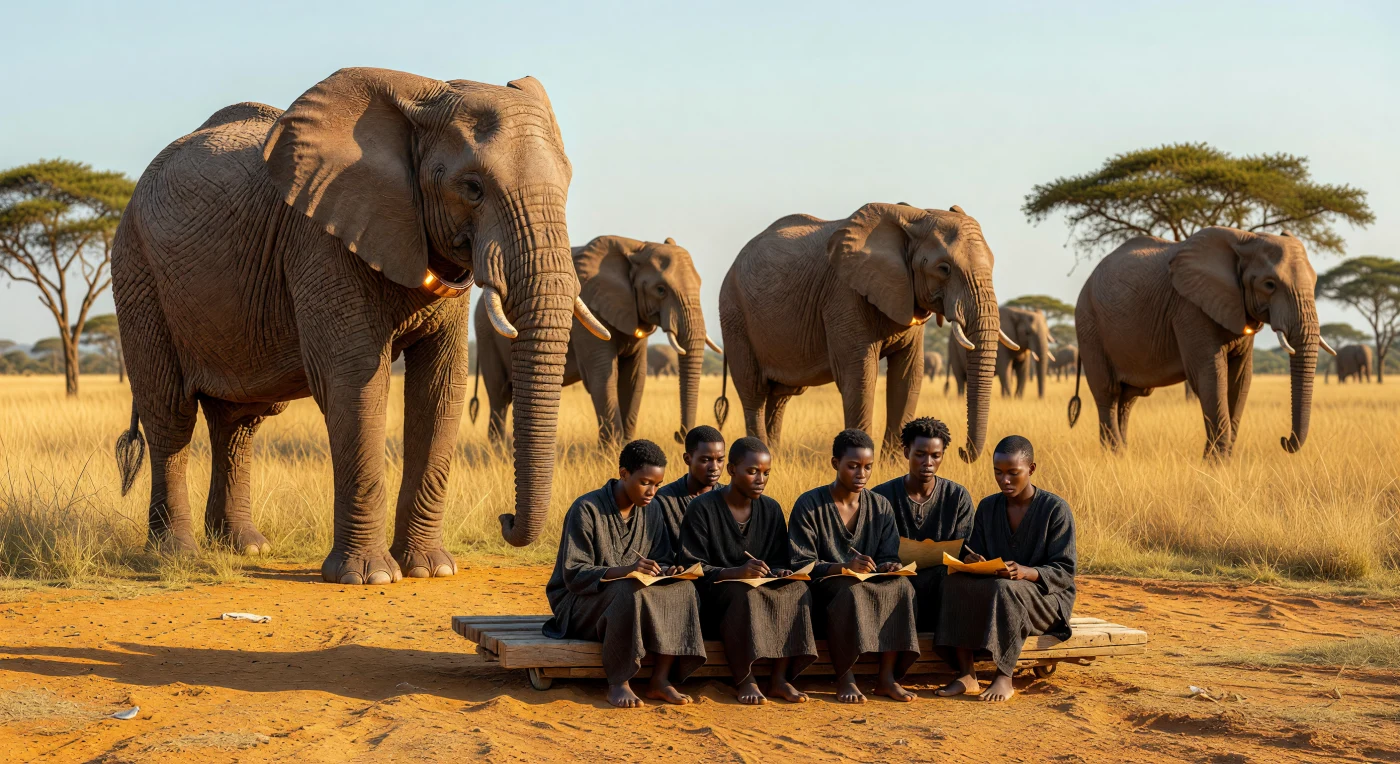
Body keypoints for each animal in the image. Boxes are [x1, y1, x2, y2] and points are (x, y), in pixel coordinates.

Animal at [111, 68, 607, 583]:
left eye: (569, 181)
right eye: (472, 187)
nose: (505, 520)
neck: (423, 98)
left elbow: (439, 388)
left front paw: (430, 570)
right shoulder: (319, 238)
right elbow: (355, 382)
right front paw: (370, 577)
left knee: (239, 422)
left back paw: (244, 547)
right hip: (137, 269)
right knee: (170, 413)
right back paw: (177, 554)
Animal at [475, 235, 715, 445]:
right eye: (661, 290)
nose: (679, 435)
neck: (636, 247)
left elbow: (634, 377)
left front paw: (628, 447)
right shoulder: (588, 313)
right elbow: (602, 375)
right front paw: (611, 451)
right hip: (487, 333)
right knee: (499, 394)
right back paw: (498, 448)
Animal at [719, 203, 1016, 458]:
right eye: (944, 268)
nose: (962, 451)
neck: (914, 216)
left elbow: (907, 376)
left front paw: (893, 464)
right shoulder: (843, 294)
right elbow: (859, 375)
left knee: (780, 396)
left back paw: (776, 455)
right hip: (734, 314)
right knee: (754, 391)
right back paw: (762, 454)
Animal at [1069, 227, 1335, 457]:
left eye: (1314, 283)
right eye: (1269, 284)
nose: (1284, 440)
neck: (1244, 240)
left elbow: (1240, 379)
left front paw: (1222, 462)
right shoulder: (1189, 307)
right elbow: (1210, 377)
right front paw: (1214, 465)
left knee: (1129, 398)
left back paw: (1123, 455)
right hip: (1089, 324)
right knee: (1108, 393)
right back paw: (1114, 456)